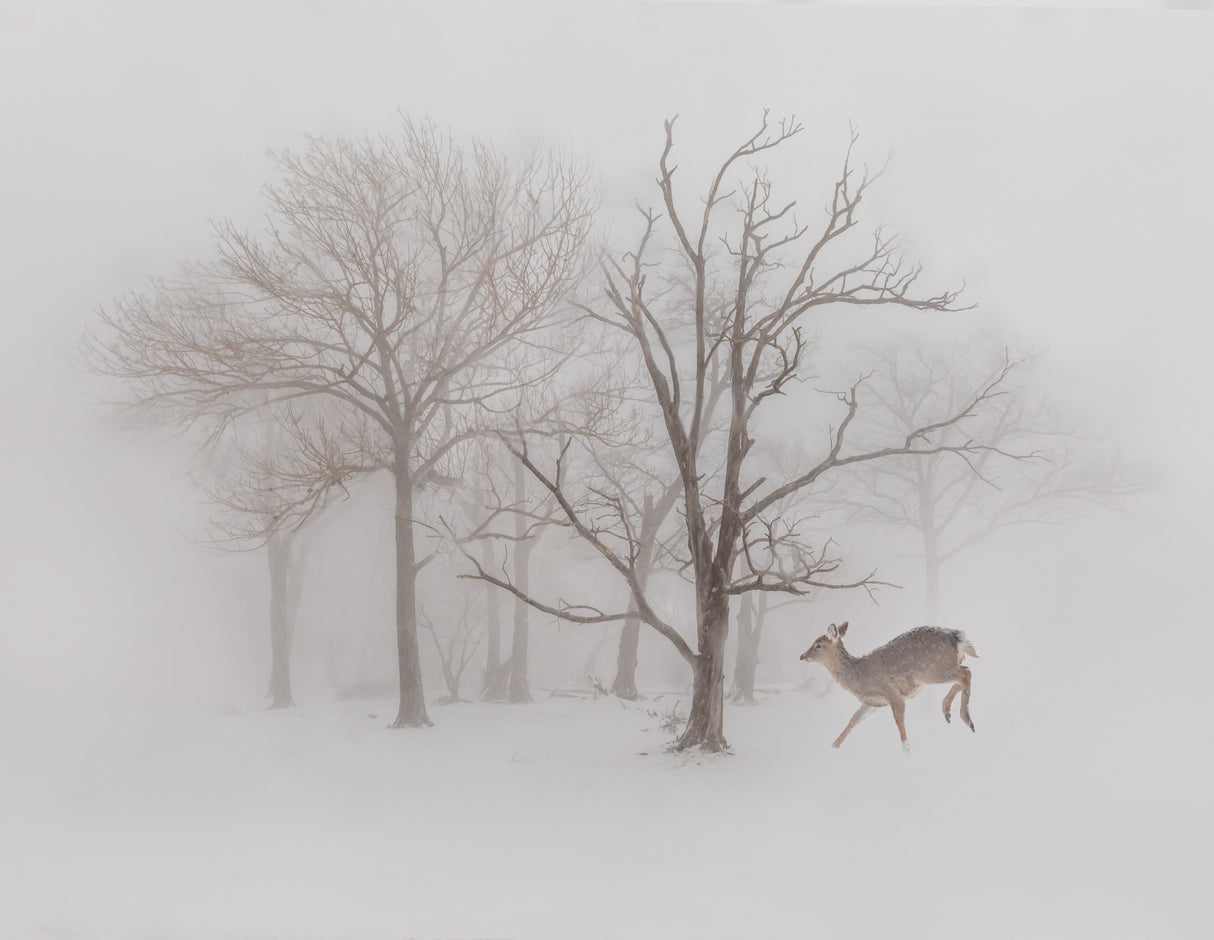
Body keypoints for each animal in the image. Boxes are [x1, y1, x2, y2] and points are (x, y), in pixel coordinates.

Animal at [799, 621, 979, 753]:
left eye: (818, 645)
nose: (802, 656)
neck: (857, 676)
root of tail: (957, 637)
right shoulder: (873, 702)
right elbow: (854, 720)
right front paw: (833, 746)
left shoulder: (892, 693)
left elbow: (898, 720)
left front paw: (907, 749)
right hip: (941, 669)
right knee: (964, 673)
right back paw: (947, 711)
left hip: (934, 670)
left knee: (965, 673)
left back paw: (967, 719)